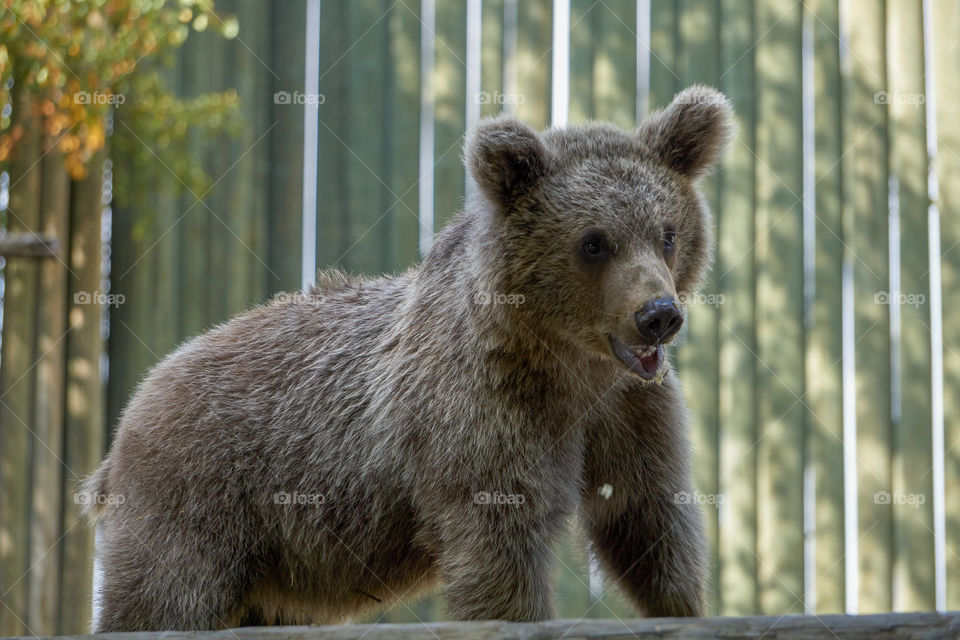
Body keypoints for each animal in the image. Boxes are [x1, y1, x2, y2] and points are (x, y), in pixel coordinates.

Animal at [81, 84, 733, 632]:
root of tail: (134, 406)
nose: (658, 314)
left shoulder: (627, 413)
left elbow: (650, 520)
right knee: (163, 597)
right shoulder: (485, 416)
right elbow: (500, 552)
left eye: (667, 232)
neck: (567, 364)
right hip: (200, 493)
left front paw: (683, 604)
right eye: (594, 242)